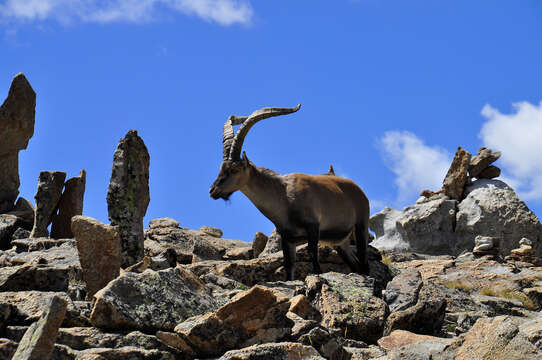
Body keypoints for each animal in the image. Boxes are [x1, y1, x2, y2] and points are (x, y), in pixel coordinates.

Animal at [210, 105, 372, 280]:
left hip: (361, 226)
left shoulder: (313, 228)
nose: (213, 190)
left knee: (364, 263)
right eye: (221, 168)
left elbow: (314, 258)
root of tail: (359, 190)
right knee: (356, 264)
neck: (284, 197)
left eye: (234, 169)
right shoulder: (288, 238)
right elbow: (289, 266)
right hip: (341, 243)